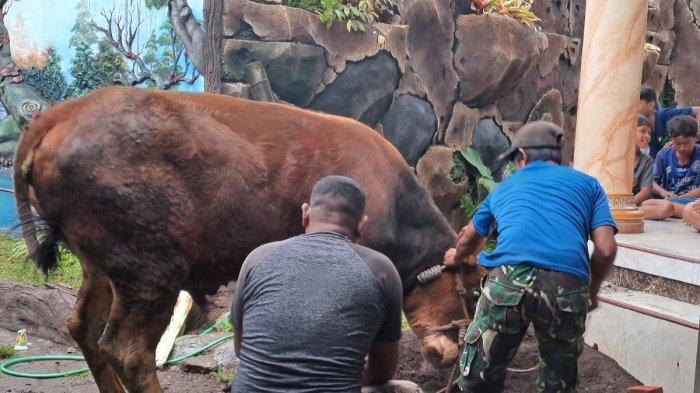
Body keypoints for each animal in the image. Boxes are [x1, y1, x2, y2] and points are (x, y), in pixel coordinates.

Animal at [16, 87, 486, 390]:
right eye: (474, 290)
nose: (450, 356)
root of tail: (58, 117)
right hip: (149, 267)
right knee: (127, 350)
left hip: (100, 265)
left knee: (83, 326)